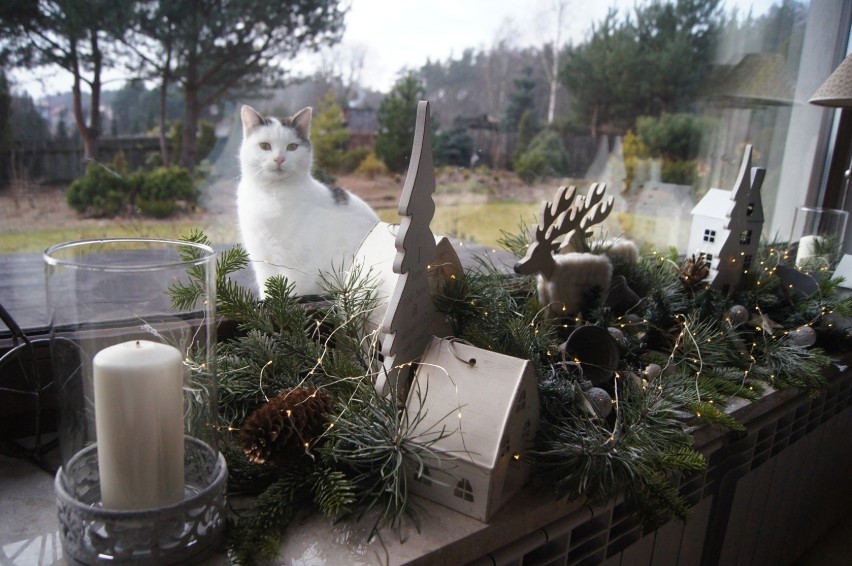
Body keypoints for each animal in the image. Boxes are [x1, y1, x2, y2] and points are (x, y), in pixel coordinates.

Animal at [235, 105, 378, 298]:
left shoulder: (301, 265)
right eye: (264, 146)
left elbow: (293, 291)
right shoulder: (263, 261)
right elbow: (268, 291)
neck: (273, 195)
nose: (279, 159)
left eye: (292, 147)